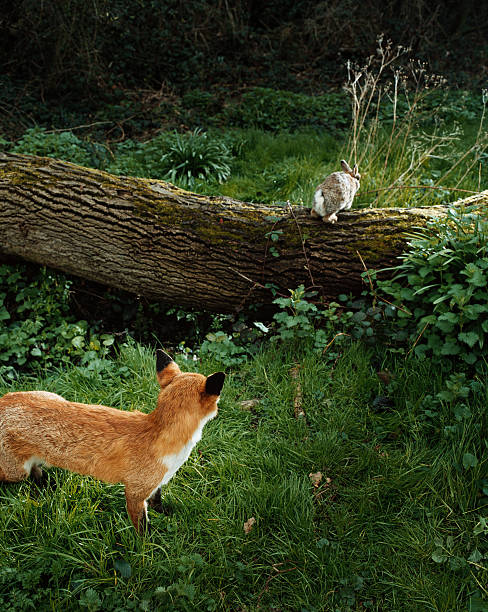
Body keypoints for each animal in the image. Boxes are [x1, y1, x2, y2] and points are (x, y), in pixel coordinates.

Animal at [0, 352, 225, 532]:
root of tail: (3, 400)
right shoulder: (134, 493)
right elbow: (142, 529)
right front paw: (148, 549)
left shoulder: (156, 483)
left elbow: (158, 503)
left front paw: (166, 515)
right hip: (16, 473)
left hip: (55, 400)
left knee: (37, 471)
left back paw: (46, 485)